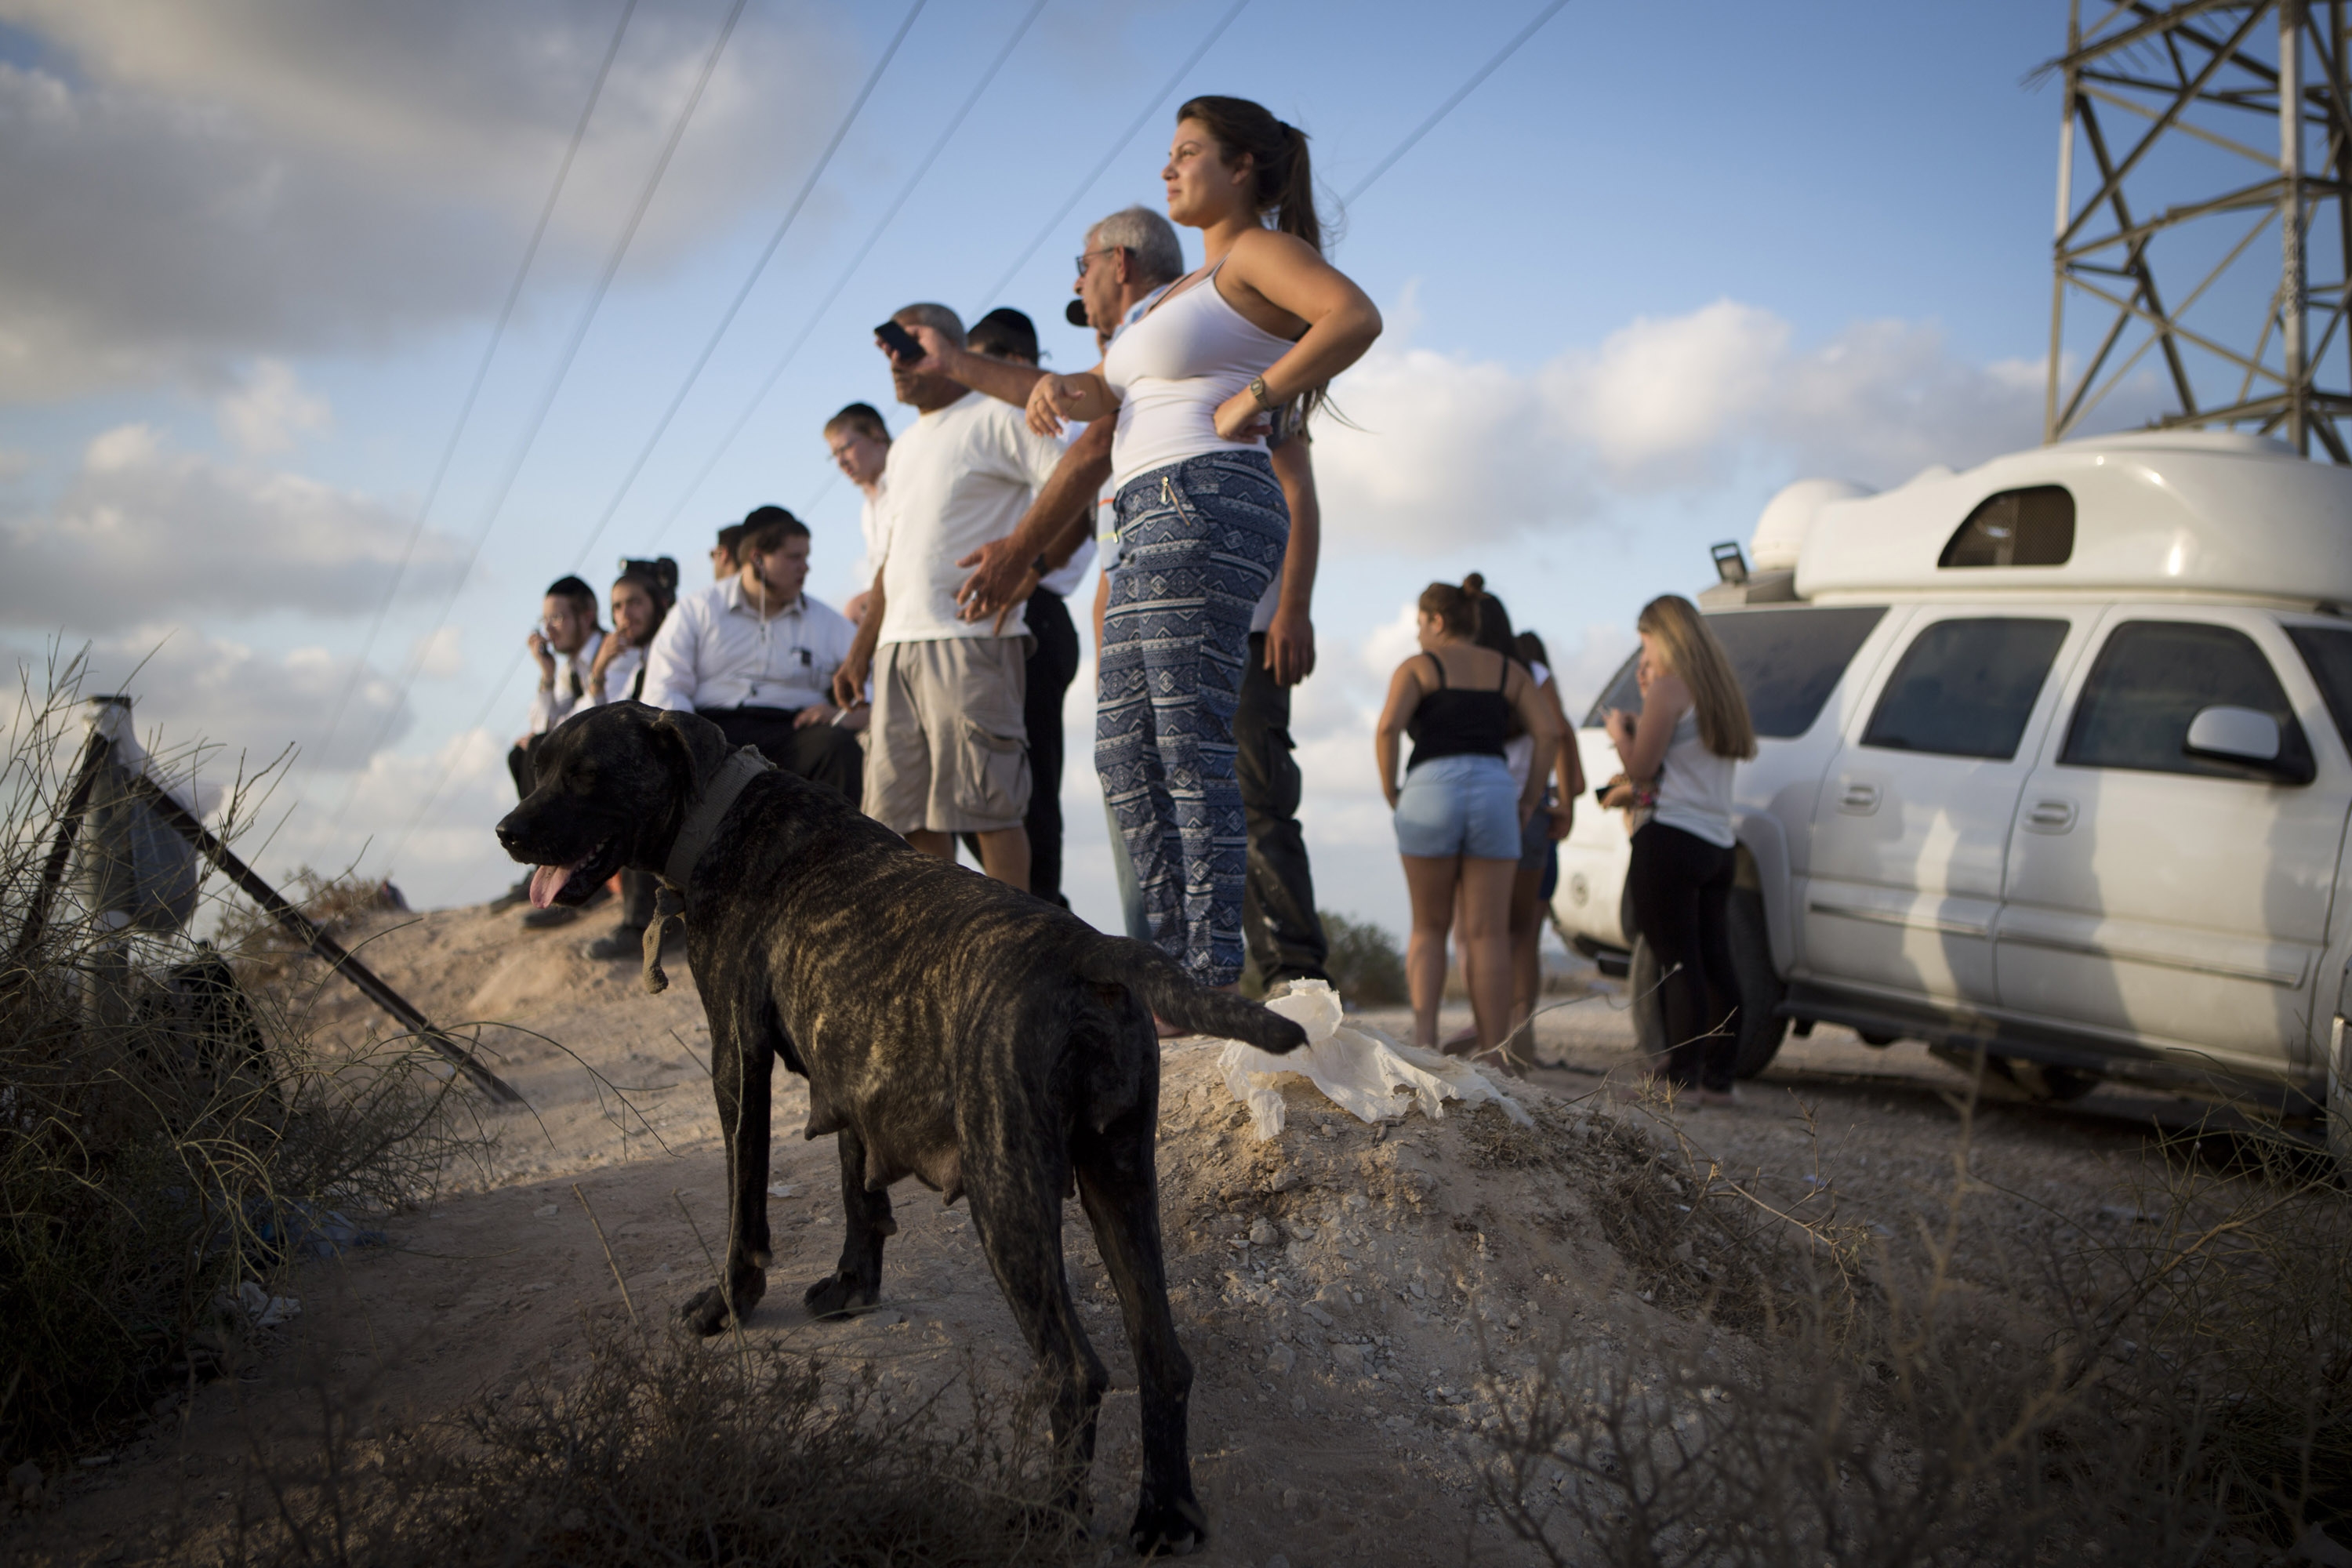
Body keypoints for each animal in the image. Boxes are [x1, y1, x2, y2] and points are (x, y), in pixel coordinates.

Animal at [496, 705, 1308, 1552]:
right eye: (540, 766)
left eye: (585, 774)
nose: (506, 831)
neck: (720, 810)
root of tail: (1091, 949)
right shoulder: (852, 1072)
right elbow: (859, 1190)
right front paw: (854, 1285)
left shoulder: (735, 1061)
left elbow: (745, 1202)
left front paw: (729, 1301)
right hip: (1119, 1178)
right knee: (1163, 1356)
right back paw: (1165, 1514)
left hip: (1008, 1200)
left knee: (1075, 1372)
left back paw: (1049, 1518)